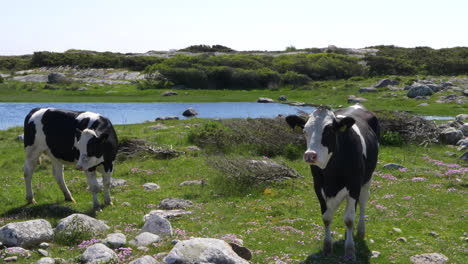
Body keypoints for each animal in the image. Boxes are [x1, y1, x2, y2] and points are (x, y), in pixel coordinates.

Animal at [286, 103, 380, 260]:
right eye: (305, 131)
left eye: (329, 131)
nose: (310, 155)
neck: (332, 173)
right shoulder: (318, 186)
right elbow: (326, 217)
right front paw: (327, 247)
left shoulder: (354, 185)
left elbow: (349, 219)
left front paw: (350, 251)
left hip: (367, 178)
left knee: (363, 202)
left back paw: (360, 231)